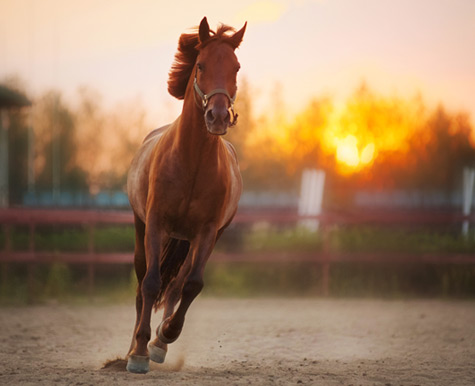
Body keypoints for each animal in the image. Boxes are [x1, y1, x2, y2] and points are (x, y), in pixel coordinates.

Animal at [124, 18, 247, 374]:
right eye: (201, 64)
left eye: (236, 67)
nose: (218, 116)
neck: (192, 162)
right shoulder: (155, 223)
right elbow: (151, 283)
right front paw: (138, 353)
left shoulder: (206, 232)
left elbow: (191, 285)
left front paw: (164, 336)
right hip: (141, 227)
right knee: (142, 284)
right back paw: (132, 347)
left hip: (195, 239)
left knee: (177, 286)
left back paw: (159, 342)